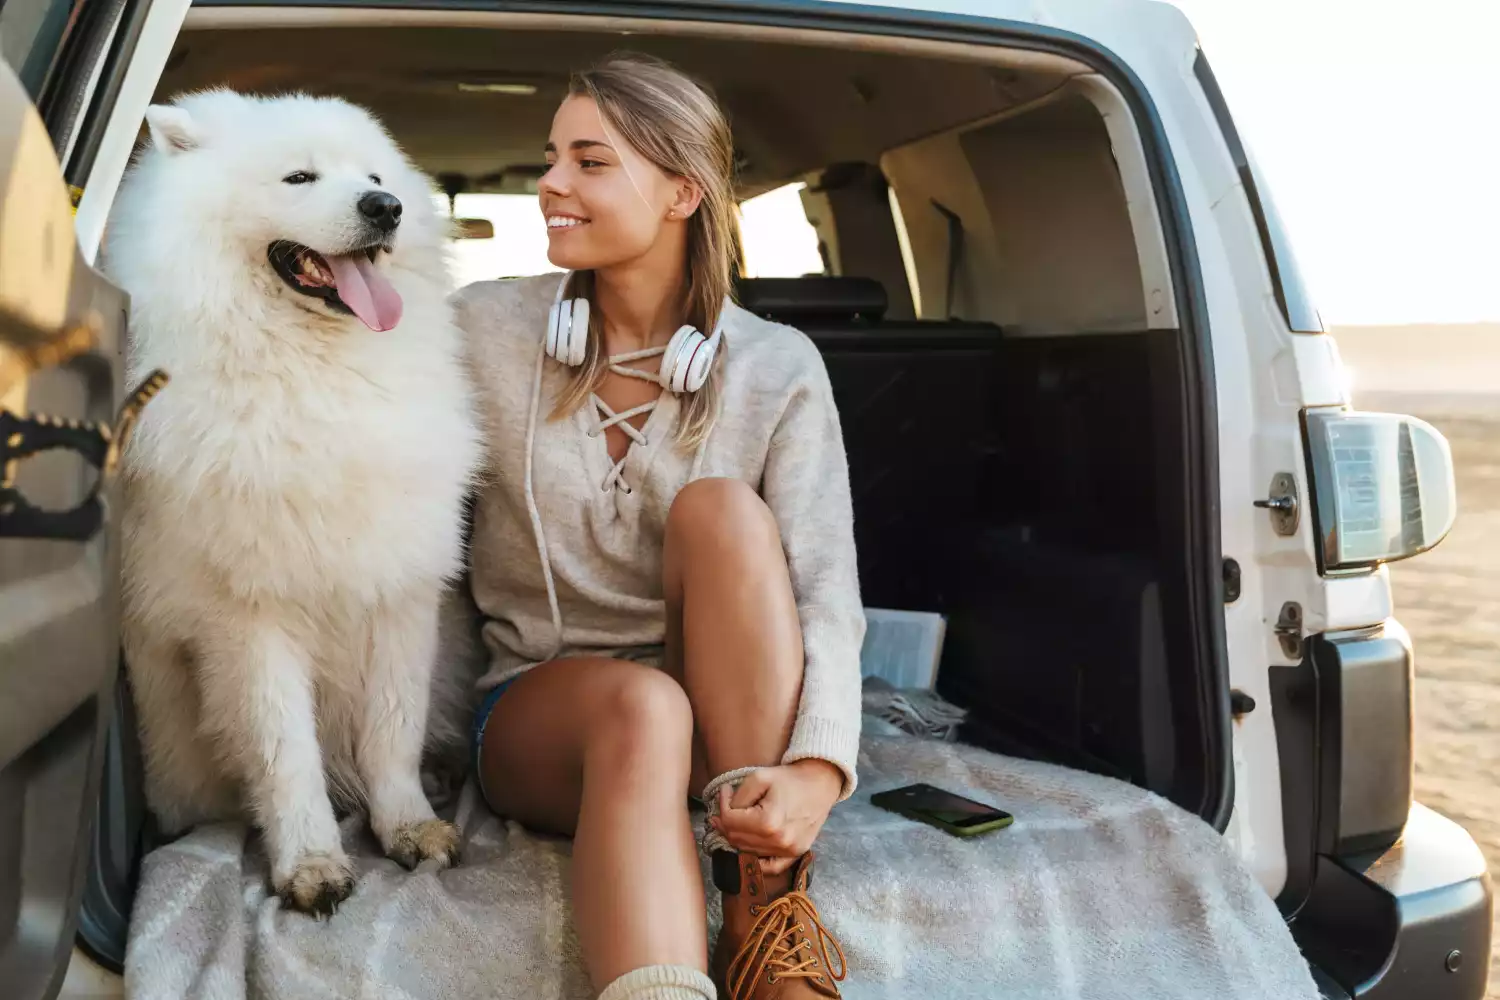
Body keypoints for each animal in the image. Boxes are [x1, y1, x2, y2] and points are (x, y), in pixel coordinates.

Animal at [107, 91, 480, 917]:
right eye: (299, 178)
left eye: (374, 177)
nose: (385, 208)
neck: (316, 372)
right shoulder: (251, 618)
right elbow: (286, 753)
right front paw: (310, 862)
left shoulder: (401, 592)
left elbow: (394, 729)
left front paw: (410, 825)